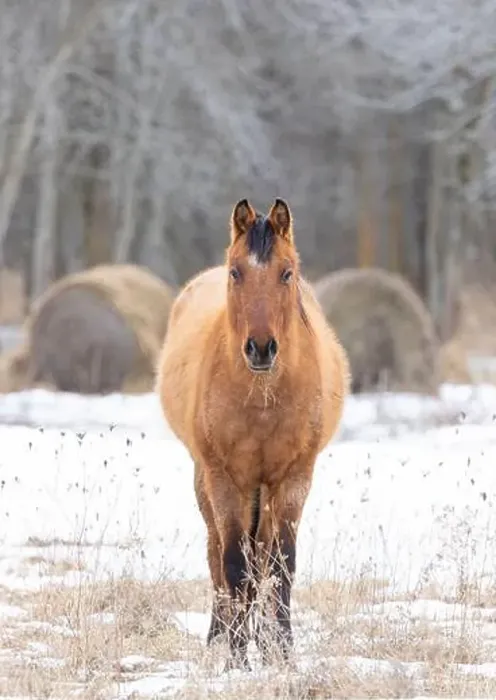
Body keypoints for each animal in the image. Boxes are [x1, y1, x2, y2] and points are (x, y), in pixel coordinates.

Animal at [157, 198, 349, 670]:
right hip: (208, 481)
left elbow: (280, 566)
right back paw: (220, 637)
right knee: (217, 556)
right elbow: (233, 564)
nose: (261, 348)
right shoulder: (227, 480)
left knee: (261, 556)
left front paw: (282, 656)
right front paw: (237, 660)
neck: (263, 400)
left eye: (286, 273)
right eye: (236, 272)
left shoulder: (294, 479)